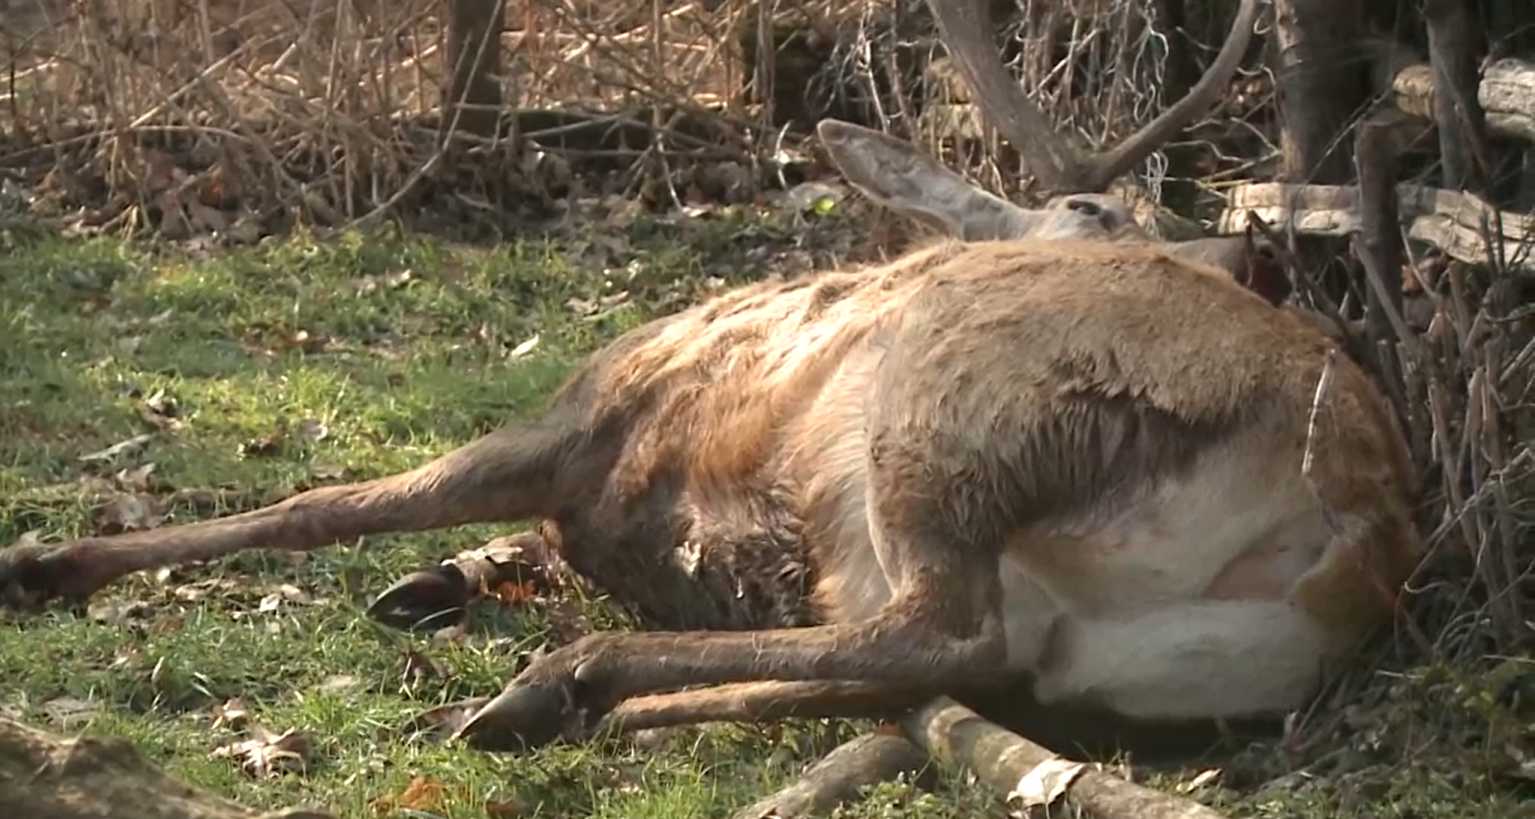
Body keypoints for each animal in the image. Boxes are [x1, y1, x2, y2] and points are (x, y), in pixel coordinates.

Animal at [0, 0, 1418, 760]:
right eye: (1094, 204)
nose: (1247, 257)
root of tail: (1355, 531)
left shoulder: (590, 411)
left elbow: (332, 500)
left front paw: (48, 561)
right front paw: (445, 583)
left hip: (961, 401)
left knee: (941, 629)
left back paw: (562, 683)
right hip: (1084, 635)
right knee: (947, 665)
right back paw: (593, 703)